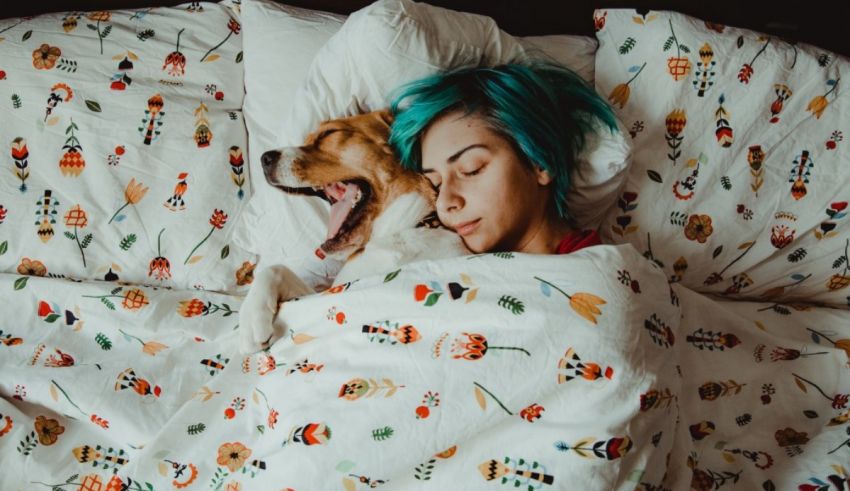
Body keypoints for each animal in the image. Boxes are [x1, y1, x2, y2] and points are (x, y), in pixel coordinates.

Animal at [240, 109, 470, 354]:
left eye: (329, 133)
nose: (264, 158)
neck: (394, 235)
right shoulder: (325, 293)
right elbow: (275, 269)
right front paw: (250, 320)